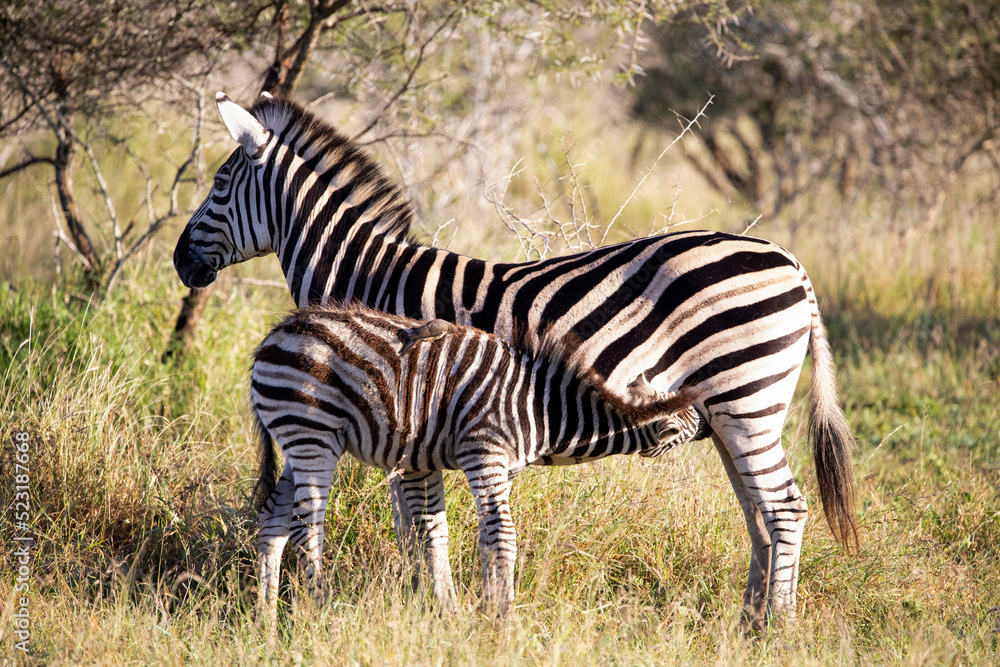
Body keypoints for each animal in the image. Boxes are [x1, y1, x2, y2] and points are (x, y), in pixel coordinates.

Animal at [251, 303, 704, 622]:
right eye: (687, 430)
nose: (705, 423)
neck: (545, 409)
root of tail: (274, 334)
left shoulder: (489, 465)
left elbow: (478, 537)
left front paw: (473, 612)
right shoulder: (484, 453)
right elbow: (502, 536)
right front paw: (503, 618)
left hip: (297, 438)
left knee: (273, 521)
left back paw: (266, 622)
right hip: (313, 431)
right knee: (306, 526)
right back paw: (322, 609)